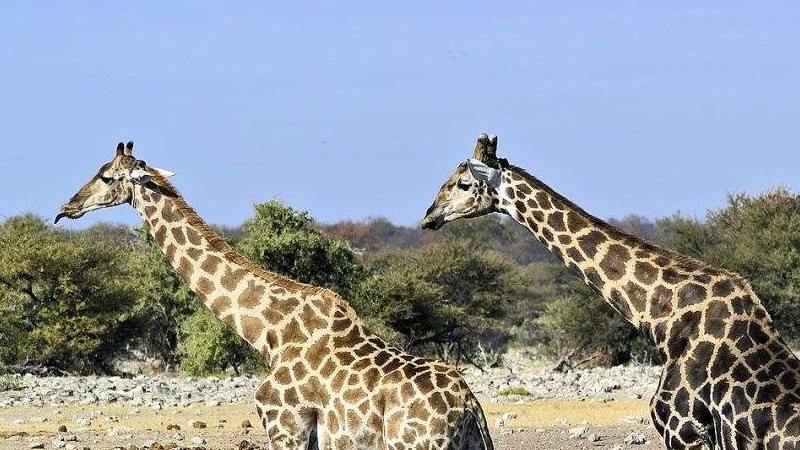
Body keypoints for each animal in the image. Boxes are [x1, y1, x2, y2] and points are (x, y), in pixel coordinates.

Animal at [56, 142, 490, 450]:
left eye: (106, 176)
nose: (66, 208)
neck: (269, 332)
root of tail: (470, 409)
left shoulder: (286, 426)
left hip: (414, 445)